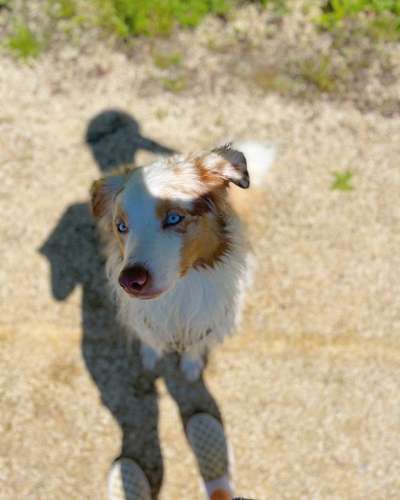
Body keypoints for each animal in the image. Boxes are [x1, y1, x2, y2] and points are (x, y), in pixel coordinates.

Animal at [90, 140, 274, 378]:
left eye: (174, 218)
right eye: (121, 226)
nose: (130, 281)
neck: (181, 291)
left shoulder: (206, 319)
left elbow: (195, 346)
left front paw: (191, 367)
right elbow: (149, 337)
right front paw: (150, 356)